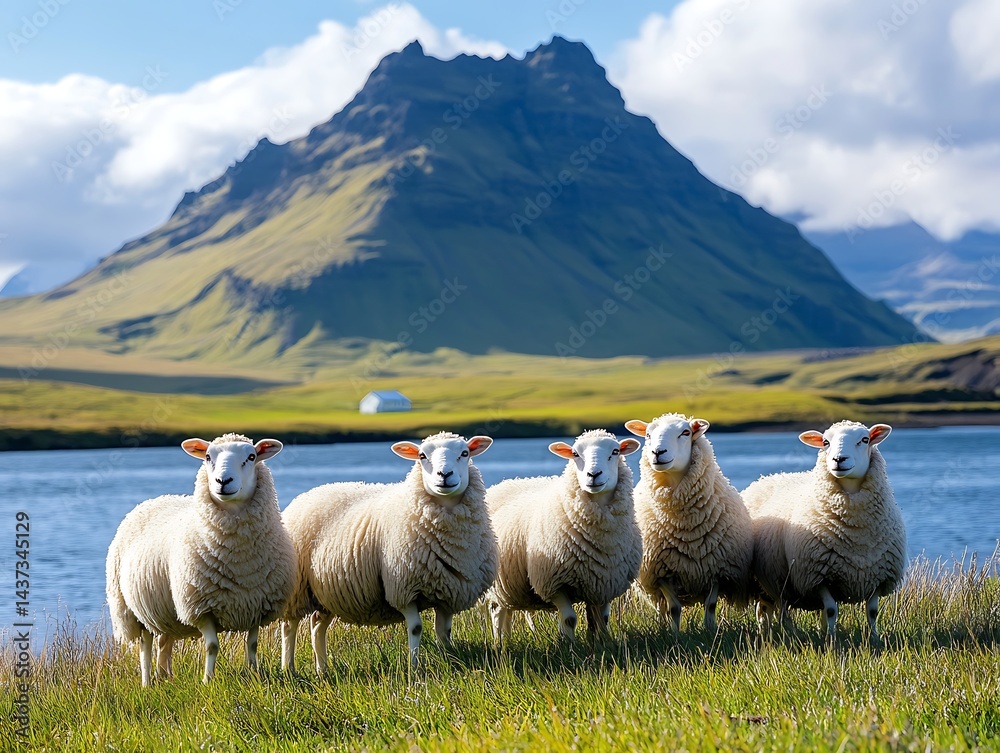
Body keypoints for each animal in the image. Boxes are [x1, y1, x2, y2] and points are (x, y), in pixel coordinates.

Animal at [105, 433, 296, 686]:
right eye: (207, 457)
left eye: (251, 457)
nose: (223, 481)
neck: (241, 562)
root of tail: (152, 501)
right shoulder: (201, 607)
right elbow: (212, 646)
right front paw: (208, 680)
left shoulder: (257, 604)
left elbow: (252, 644)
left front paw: (255, 674)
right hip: (132, 610)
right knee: (145, 646)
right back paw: (147, 683)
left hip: (167, 613)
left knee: (164, 643)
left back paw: (165, 677)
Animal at [280, 432, 496, 672]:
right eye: (422, 456)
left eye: (464, 453)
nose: (444, 475)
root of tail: (305, 495)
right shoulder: (403, 589)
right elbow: (416, 628)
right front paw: (414, 667)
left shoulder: (451, 591)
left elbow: (444, 632)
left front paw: (451, 659)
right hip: (297, 588)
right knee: (289, 625)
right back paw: (288, 668)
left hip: (326, 593)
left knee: (317, 624)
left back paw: (322, 669)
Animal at [486, 429, 642, 644]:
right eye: (575, 454)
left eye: (615, 451)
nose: (593, 475)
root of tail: (508, 481)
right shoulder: (555, 583)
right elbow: (569, 619)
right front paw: (570, 645)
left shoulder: (605, 582)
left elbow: (602, 618)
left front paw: (604, 642)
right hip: (497, 583)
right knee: (497, 613)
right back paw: (498, 643)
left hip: (509, 586)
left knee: (507, 611)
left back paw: (506, 641)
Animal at [624, 414, 753, 635]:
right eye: (647, 435)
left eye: (685, 432)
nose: (657, 452)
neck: (687, 527)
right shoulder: (661, 572)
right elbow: (674, 608)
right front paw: (674, 634)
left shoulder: (716, 569)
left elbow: (710, 605)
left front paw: (710, 630)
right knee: (662, 608)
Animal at [742, 421, 906, 643]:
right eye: (826, 442)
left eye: (864, 440)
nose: (839, 459)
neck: (858, 534)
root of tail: (766, 477)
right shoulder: (818, 576)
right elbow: (831, 610)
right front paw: (831, 639)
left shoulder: (877, 577)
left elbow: (872, 613)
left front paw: (874, 639)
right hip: (766, 581)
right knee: (766, 610)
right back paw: (767, 634)